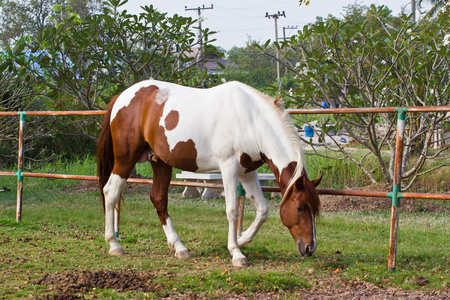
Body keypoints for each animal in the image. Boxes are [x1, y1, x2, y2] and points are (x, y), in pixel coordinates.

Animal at [97, 79, 324, 268]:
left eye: (315, 208)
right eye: (300, 207)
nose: (310, 247)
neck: (250, 119)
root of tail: (120, 98)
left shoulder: (248, 172)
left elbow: (263, 210)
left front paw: (241, 239)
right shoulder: (228, 168)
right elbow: (232, 210)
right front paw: (236, 253)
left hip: (160, 162)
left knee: (159, 199)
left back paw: (179, 247)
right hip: (126, 159)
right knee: (110, 192)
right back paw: (114, 245)